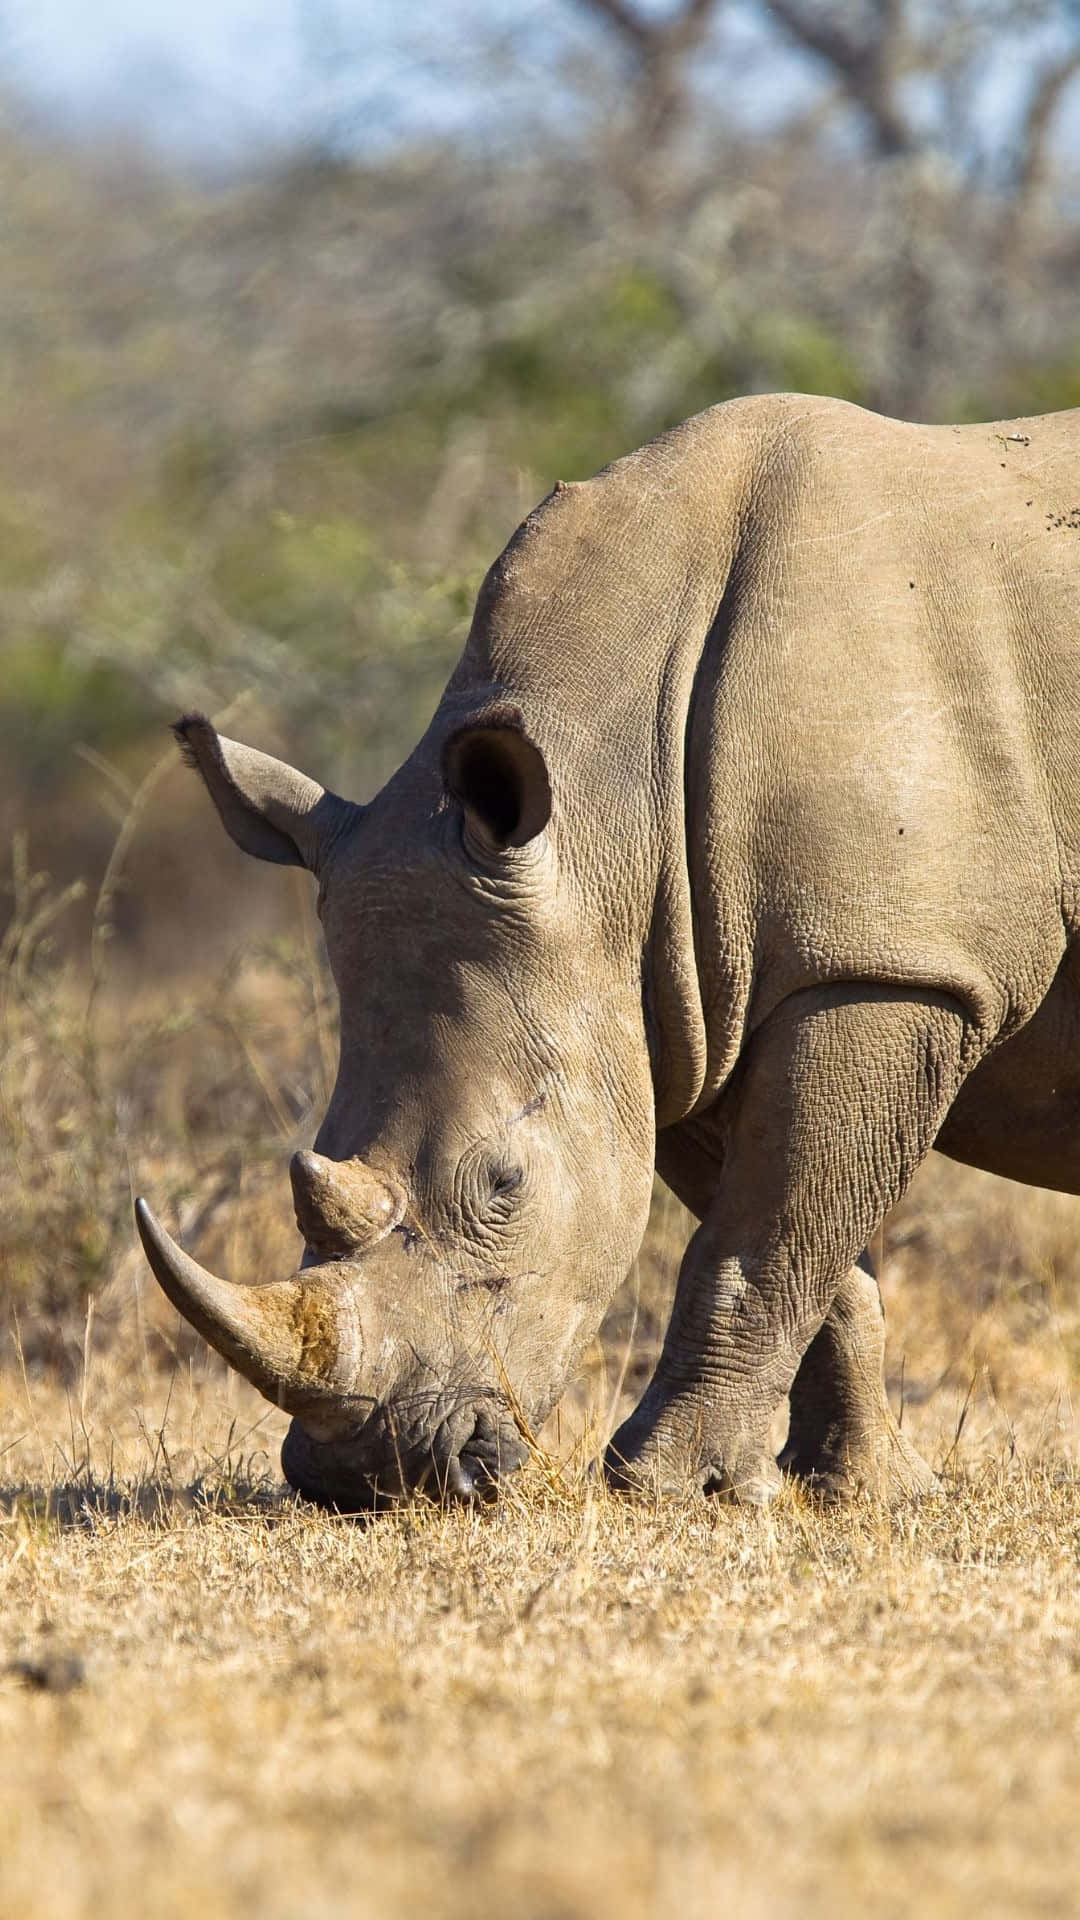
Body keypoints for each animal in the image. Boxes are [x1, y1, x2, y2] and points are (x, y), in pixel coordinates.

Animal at [136, 391, 1080, 1509]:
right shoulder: (685, 1001)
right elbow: (805, 1242)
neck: (611, 800)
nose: (371, 1477)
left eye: (503, 1184)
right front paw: (854, 1491)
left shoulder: (883, 969)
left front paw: (664, 1484)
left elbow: (766, 1238)